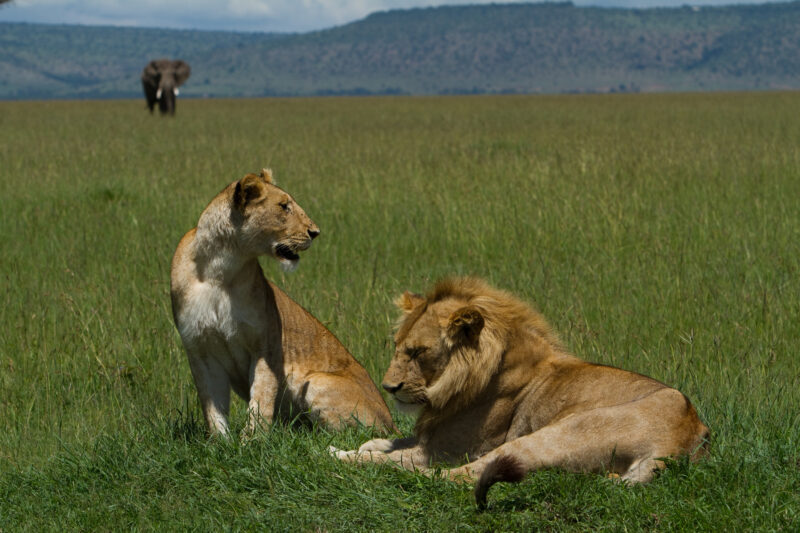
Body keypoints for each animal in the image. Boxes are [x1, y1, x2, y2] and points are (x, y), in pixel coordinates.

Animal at [170, 168, 395, 437]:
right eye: (284, 207)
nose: (315, 232)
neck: (221, 267)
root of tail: (392, 423)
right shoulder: (200, 349)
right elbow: (213, 407)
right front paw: (222, 443)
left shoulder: (266, 346)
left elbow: (261, 399)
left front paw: (252, 441)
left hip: (317, 380)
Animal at [332, 277, 709, 508]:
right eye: (397, 345)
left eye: (418, 352)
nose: (388, 387)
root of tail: (686, 439)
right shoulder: (431, 436)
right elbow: (390, 441)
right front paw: (365, 445)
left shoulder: (442, 451)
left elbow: (399, 456)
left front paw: (349, 454)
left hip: (554, 434)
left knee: (459, 475)